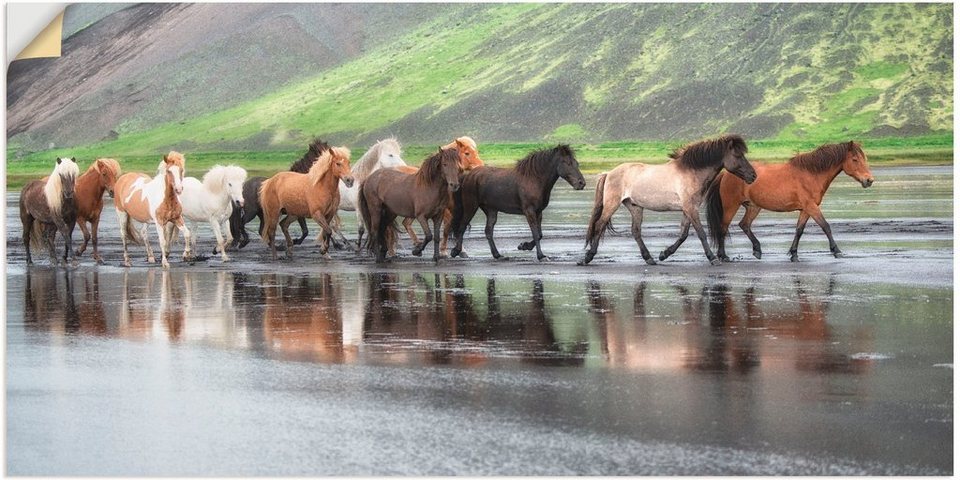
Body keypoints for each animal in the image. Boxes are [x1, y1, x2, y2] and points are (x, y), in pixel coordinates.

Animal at [450, 143, 584, 260]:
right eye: (567, 163)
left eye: (576, 163)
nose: (581, 183)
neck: (534, 180)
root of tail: (469, 176)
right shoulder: (529, 211)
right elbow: (536, 233)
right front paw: (541, 256)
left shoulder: (538, 211)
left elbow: (540, 234)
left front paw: (524, 246)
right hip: (471, 206)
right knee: (462, 227)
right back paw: (456, 251)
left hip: (491, 210)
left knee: (488, 231)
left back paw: (497, 255)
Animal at [576, 135, 756, 266]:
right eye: (738, 155)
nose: (753, 176)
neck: (691, 172)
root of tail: (609, 173)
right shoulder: (691, 208)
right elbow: (701, 233)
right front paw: (713, 258)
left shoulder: (688, 209)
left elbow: (683, 234)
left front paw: (664, 254)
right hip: (612, 204)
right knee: (599, 225)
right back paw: (587, 258)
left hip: (635, 206)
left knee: (635, 231)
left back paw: (649, 258)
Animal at [700, 141, 872, 262]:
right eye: (855, 160)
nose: (869, 180)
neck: (811, 174)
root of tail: (726, 174)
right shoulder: (812, 207)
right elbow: (825, 226)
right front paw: (836, 251)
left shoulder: (806, 209)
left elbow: (799, 230)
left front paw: (794, 254)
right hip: (731, 206)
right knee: (723, 228)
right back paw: (723, 255)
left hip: (754, 207)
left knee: (744, 225)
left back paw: (757, 250)